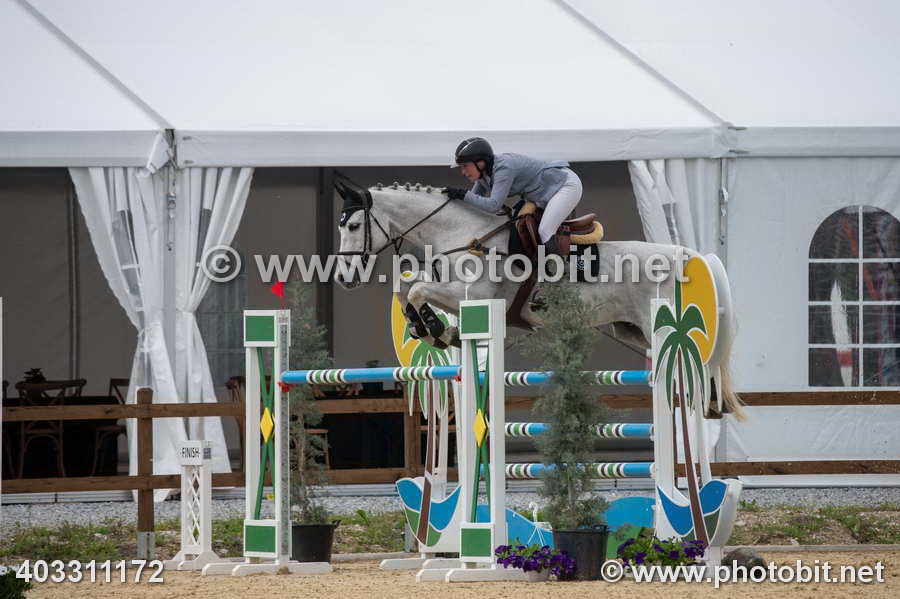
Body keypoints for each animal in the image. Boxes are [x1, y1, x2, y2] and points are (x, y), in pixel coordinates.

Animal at [333, 179, 742, 418]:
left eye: (353, 225)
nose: (342, 278)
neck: (463, 234)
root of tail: (687, 254)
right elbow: (406, 288)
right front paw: (428, 328)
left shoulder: (472, 294)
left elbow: (417, 289)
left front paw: (436, 329)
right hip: (631, 330)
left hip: (659, 325)